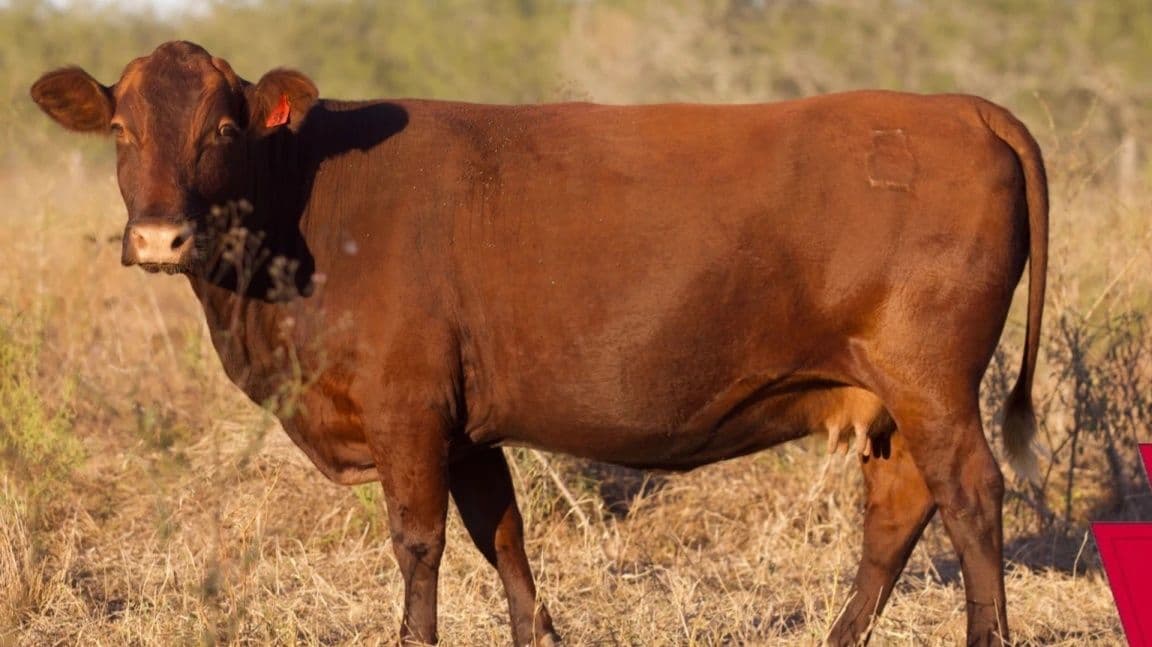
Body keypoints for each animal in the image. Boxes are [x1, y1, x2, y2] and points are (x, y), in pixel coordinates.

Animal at [31, 41, 1047, 646]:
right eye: (119, 127)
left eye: (223, 127)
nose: (160, 237)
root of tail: (960, 106)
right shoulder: (465, 426)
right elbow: (503, 536)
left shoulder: (406, 409)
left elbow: (420, 542)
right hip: (891, 396)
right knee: (899, 505)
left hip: (933, 381)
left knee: (970, 494)